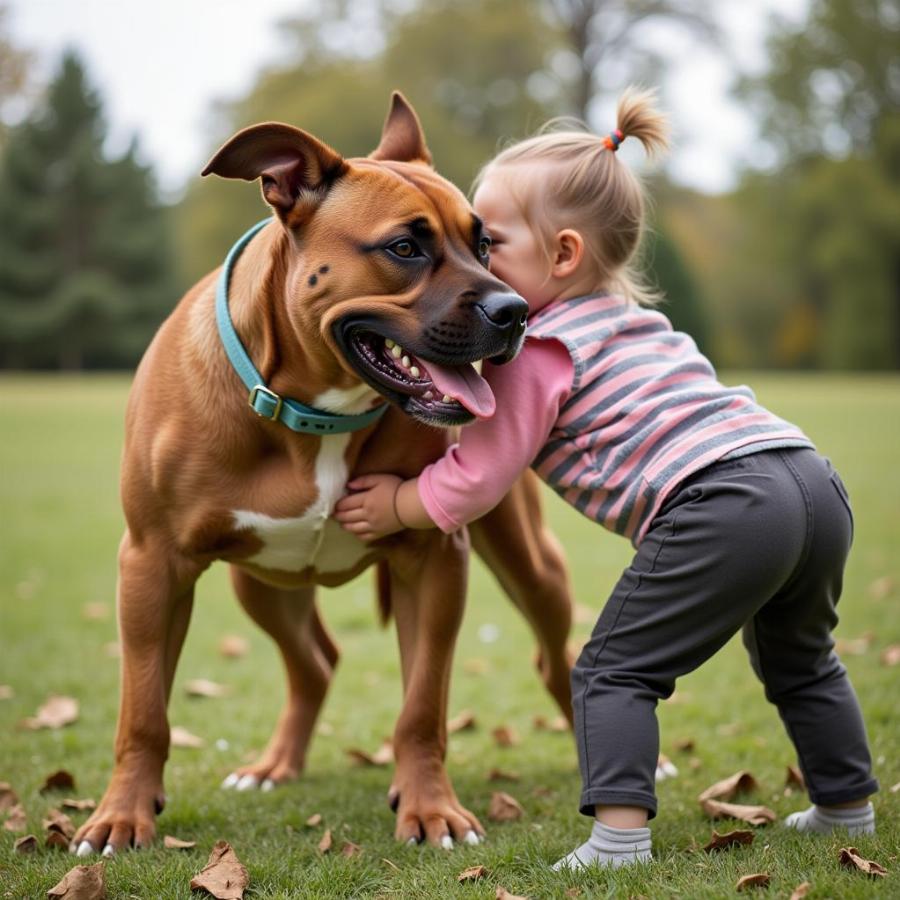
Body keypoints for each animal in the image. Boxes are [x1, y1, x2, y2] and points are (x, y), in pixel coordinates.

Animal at [74, 95, 572, 856]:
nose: (514, 310)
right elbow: (144, 710)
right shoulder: (152, 564)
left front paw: (431, 808)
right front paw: (122, 816)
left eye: (483, 243)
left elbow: (423, 706)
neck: (314, 415)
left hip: (529, 560)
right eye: (404, 248)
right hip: (261, 585)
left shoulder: (435, 560)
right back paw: (274, 766)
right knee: (315, 661)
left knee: (553, 655)